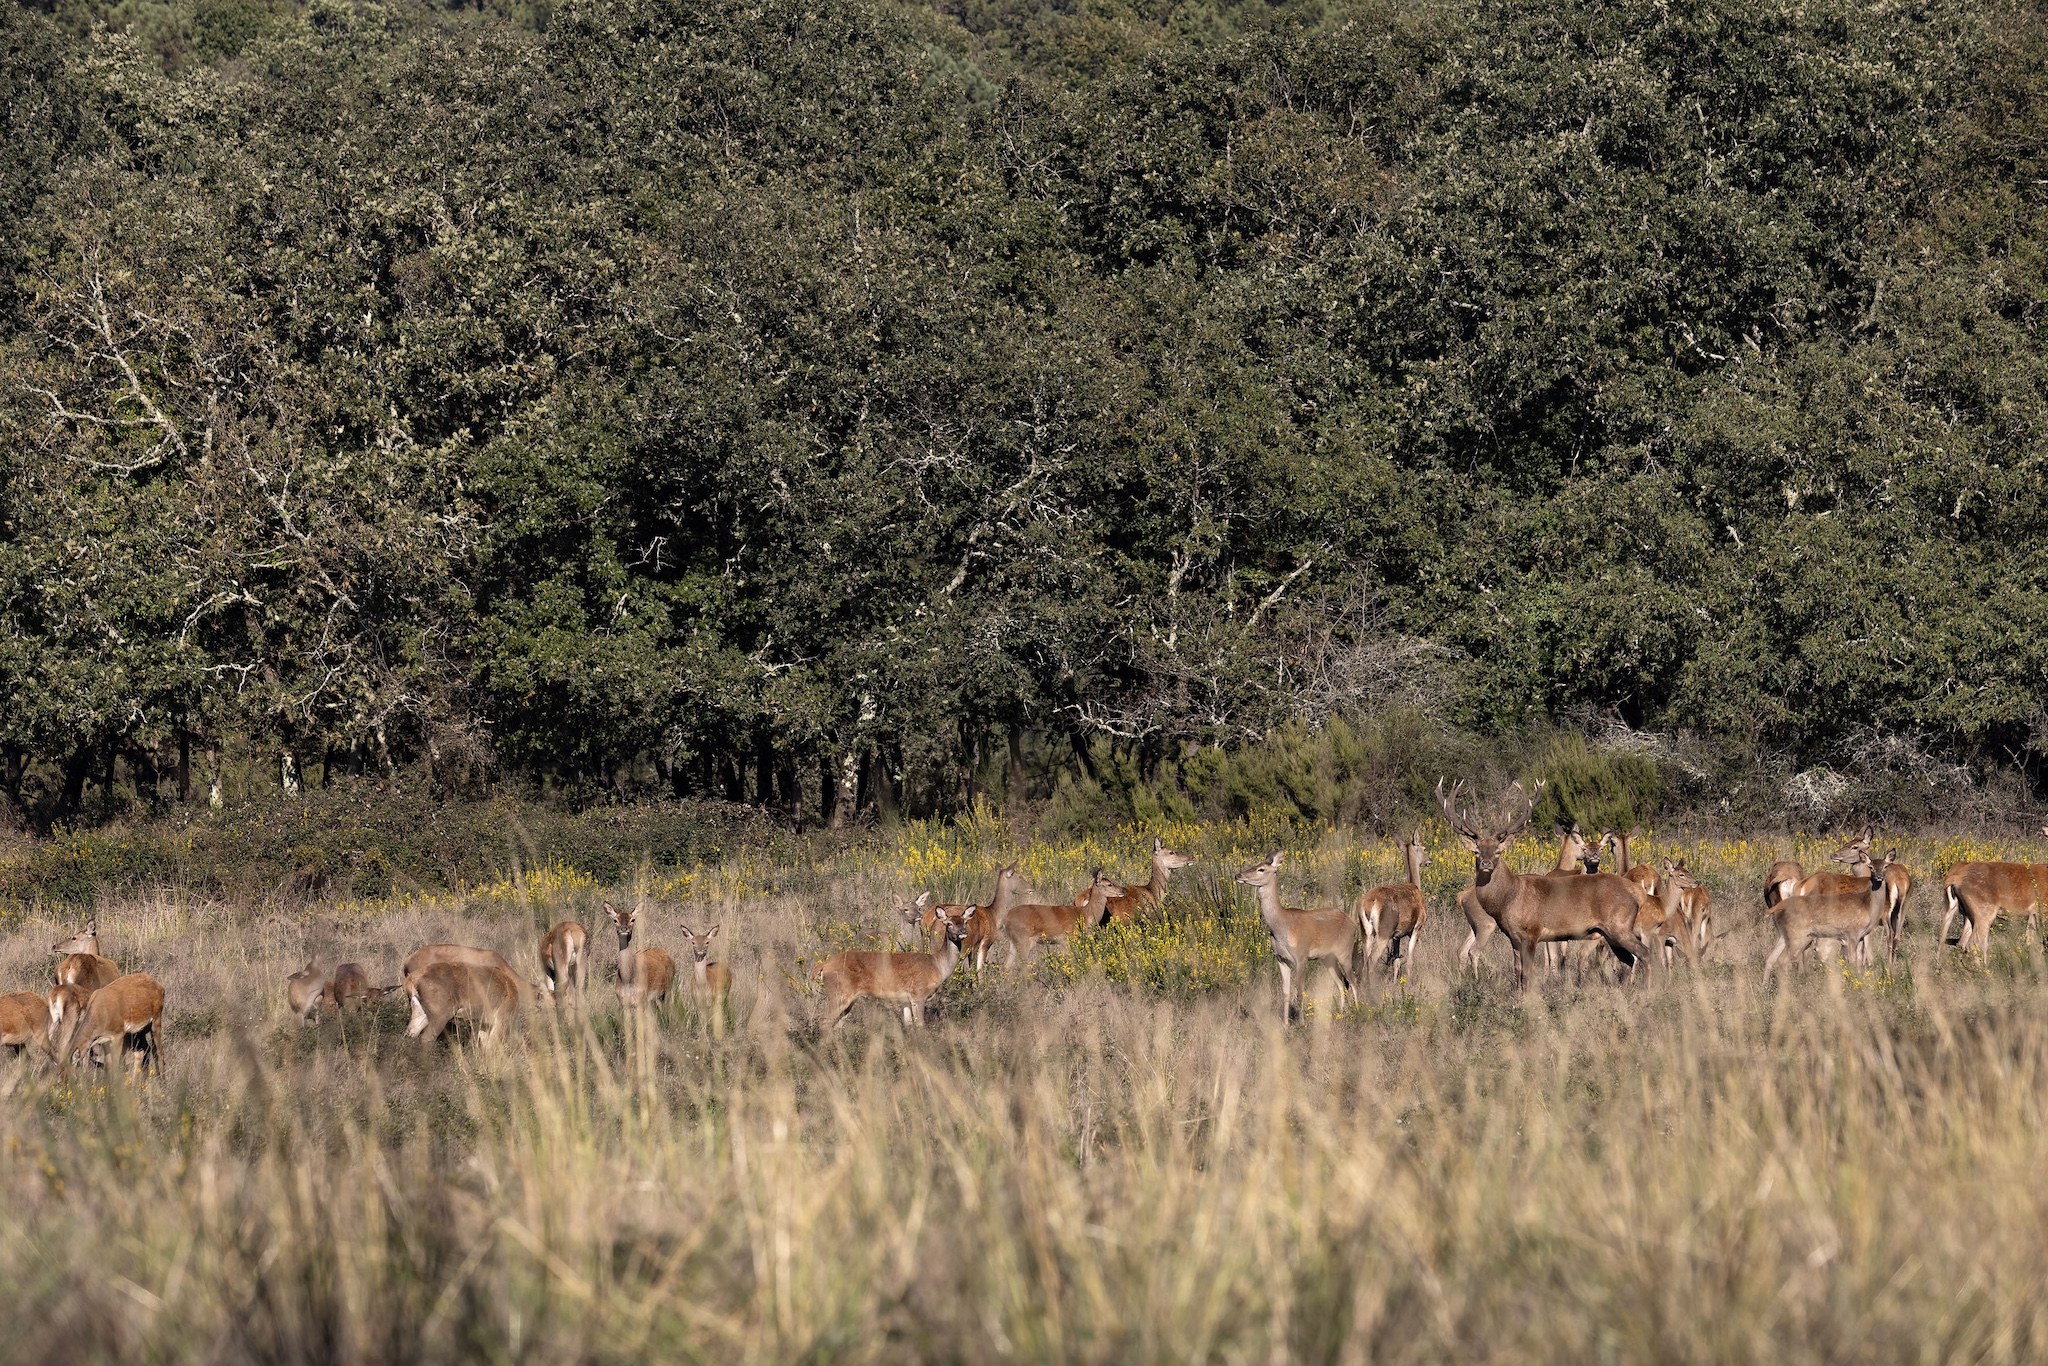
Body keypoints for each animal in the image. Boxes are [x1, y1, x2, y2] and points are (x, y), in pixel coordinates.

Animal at [816, 905, 974, 1028]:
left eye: (965, 922)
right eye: (949, 923)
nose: (963, 932)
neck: (937, 965)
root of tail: (824, 965)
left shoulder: (905, 1000)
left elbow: (909, 1025)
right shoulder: (918, 994)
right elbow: (920, 1026)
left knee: (837, 1025)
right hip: (839, 992)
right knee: (824, 1022)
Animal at [1236, 849, 1360, 1022]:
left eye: (1261, 869)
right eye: (1254, 864)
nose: (1238, 875)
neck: (1281, 927)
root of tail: (1352, 922)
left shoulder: (1301, 956)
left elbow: (1300, 992)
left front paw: (1301, 1022)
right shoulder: (1281, 959)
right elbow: (1286, 993)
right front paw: (1285, 1024)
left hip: (1345, 951)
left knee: (1353, 981)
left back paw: (1359, 1011)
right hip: (1327, 958)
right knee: (1342, 983)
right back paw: (1341, 1014)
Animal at [1358, 832, 1427, 985]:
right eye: (1424, 848)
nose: (1429, 860)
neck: (1415, 886)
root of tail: (1369, 903)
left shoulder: (1397, 935)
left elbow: (1396, 960)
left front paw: (1396, 983)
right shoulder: (1416, 928)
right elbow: (1410, 960)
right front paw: (1408, 983)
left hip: (1366, 931)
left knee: (1364, 959)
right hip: (1384, 931)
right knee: (1372, 960)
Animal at [1439, 779, 1650, 989]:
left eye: (1498, 851)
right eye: (1476, 851)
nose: (1486, 863)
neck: (1508, 899)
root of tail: (1637, 895)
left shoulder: (1532, 932)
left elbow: (1527, 973)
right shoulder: (1513, 937)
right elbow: (1517, 971)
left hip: (1619, 925)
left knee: (1644, 954)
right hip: (1610, 933)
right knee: (1629, 960)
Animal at [1762, 853, 1894, 981]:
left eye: (1886, 866)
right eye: (1870, 867)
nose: (1879, 877)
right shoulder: (1852, 934)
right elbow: (1855, 959)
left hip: (1786, 933)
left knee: (1772, 958)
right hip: (1799, 936)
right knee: (1787, 959)